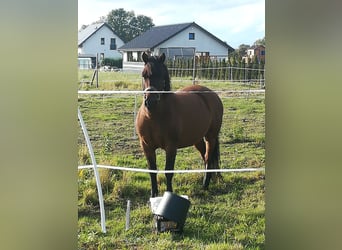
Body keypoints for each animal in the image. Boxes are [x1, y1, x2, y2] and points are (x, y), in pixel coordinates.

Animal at [136, 52, 224, 197]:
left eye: (162, 76)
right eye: (144, 75)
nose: (150, 102)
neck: (153, 116)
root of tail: (212, 95)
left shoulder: (171, 147)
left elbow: (168, 172)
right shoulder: (146, 146)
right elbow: (152, 171)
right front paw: (153, 195)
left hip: (210, 137)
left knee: (208, 158)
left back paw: (205, 185)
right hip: (197, 139)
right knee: (205, 156)